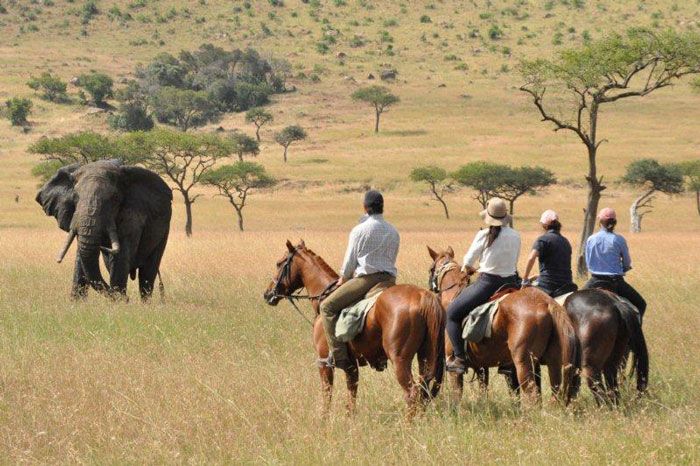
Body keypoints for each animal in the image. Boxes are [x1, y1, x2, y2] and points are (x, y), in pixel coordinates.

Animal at [36, 159, 172, 298]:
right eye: (75, 197)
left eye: (115, 198)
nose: (128, 298)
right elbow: (81, 257)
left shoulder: (133, 214)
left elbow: (121, 257)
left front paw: (119, 300)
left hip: (165, 229)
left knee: (147, 274)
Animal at [262, 240, 442, 416]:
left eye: (279, 263)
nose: (267, 293)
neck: (324, 295)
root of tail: (423, 297)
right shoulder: (351, 367)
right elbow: (351, 400)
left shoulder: (324, 363)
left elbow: (327, 396)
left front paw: (324, 421)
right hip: (424, 357)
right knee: (423, 392)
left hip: (399, 360)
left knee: (412, 394)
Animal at [426, 244, 580, 404]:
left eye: (431, 269)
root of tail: (546, 303)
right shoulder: (481, 367)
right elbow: (483, 391)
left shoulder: (454, 368)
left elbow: (457, 394)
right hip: (553, 363)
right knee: (555, 392)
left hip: (524, 364)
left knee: (532, 395)